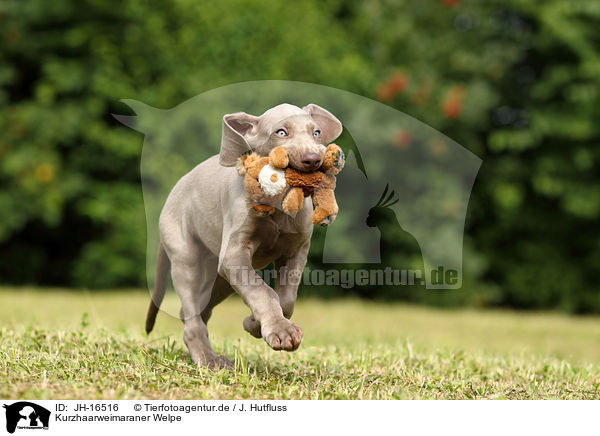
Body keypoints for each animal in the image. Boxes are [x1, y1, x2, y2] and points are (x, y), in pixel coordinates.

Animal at [144, 103, 342, 368]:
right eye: (281, 132)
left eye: (317, 133)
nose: (313, 159)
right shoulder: (234, 254)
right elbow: (263, 291)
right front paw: (280, 330)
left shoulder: (296, 252)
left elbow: (286, 300)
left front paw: (255, 325)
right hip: (186, 257)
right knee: (192, 312)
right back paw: (208, 359)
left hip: (220, 279)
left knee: (198, 309)